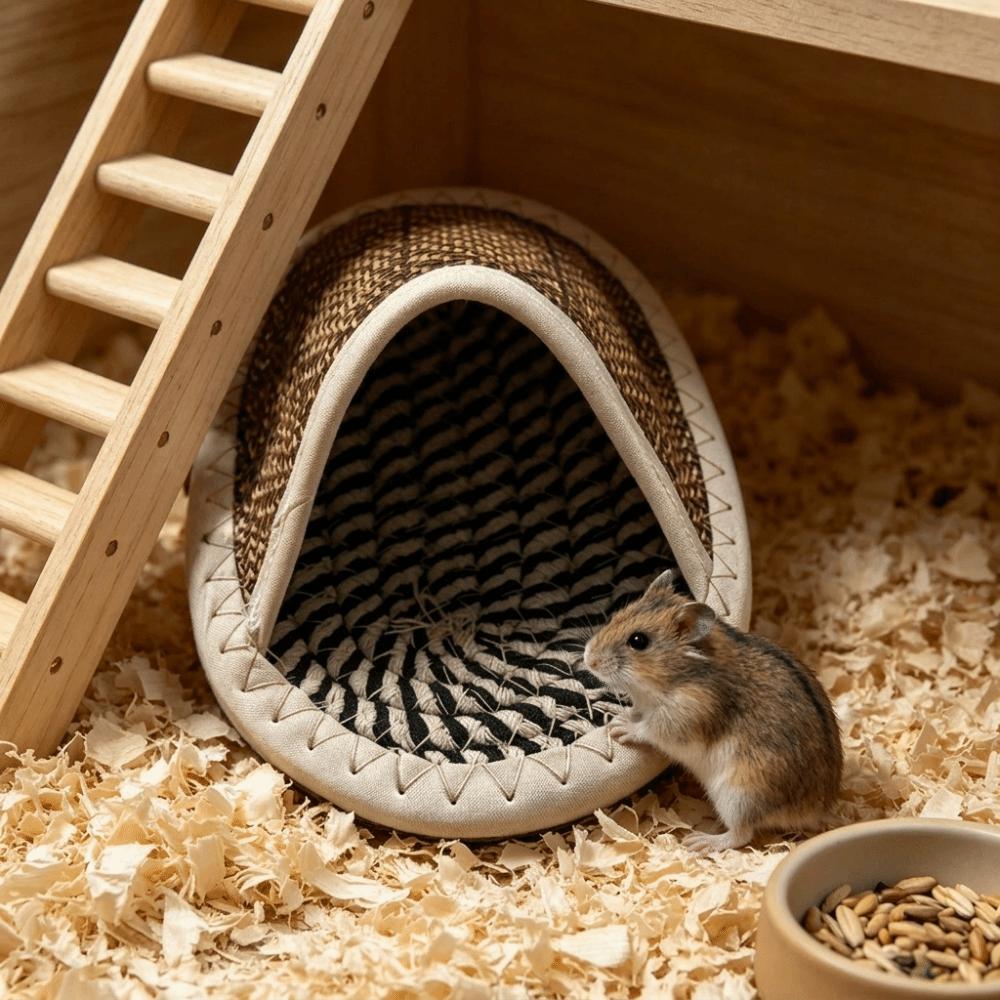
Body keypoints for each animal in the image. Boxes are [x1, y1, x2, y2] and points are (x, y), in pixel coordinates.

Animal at [583, 569, 842, 855]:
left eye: (638, 641)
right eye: (616, 616)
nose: (588, 658)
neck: (681, 674)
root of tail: (819, 809)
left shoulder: (684, 715)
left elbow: (649, 728)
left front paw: (619, 726)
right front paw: (615, 714)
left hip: (739, 795)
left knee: (741, 834)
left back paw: (698, 841)